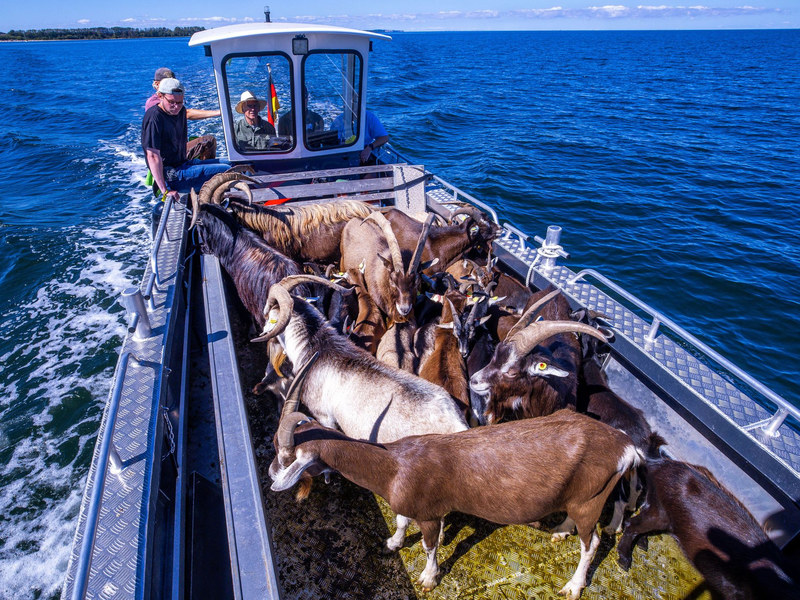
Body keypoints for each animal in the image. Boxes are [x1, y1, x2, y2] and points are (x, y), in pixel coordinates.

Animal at [271, 361, 643, 600]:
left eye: (287, 454)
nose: (273, 472)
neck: (394, 465)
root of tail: (625, 447)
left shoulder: (430, 513)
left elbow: (429, 545)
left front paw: (427, 579)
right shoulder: (407, 500)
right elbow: (401, 520)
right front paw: (393, 542)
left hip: (590, 498)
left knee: (592, 542)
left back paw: (573, 586)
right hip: (579, 498)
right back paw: (561, 531)